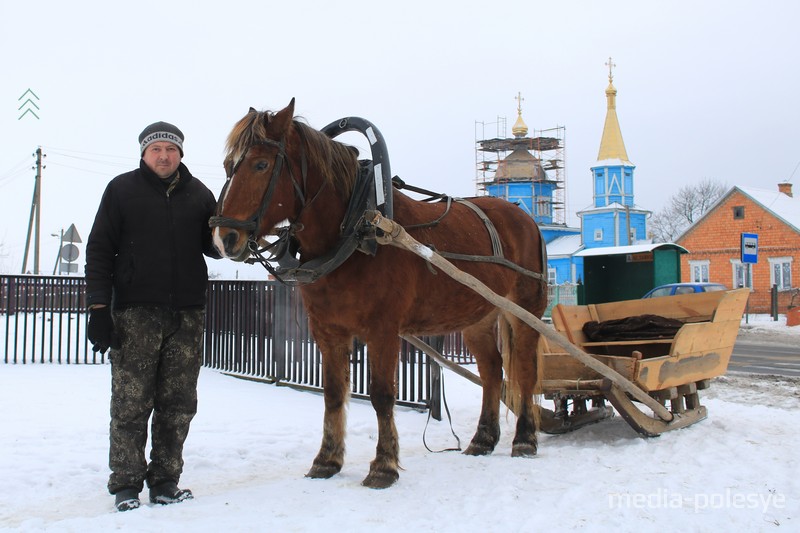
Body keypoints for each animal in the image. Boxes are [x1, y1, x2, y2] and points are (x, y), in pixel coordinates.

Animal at [211, 97, 552, 488]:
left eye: (261, 164)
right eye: (228, 166)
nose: (223, 238)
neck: (357, 229)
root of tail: (525, 218)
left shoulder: (383, 330)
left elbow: (382, 396)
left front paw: (383, 465)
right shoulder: (327, 331)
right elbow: (333, 394)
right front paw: (326, 460)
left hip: (523, 311)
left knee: (524, 370)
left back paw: (524, 439)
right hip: (478, 318)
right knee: (493, 371)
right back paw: (482, 439)